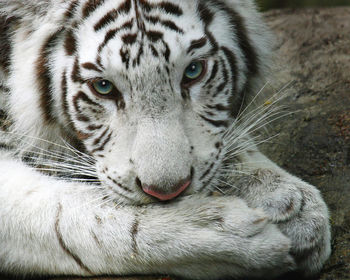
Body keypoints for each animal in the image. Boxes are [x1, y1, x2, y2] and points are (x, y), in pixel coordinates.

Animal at [0, 1, 330, 278]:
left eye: (194, 71)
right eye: (103, 87)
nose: (168, 192)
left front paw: (289, 202)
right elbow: (73, 218)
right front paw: (220, 235)